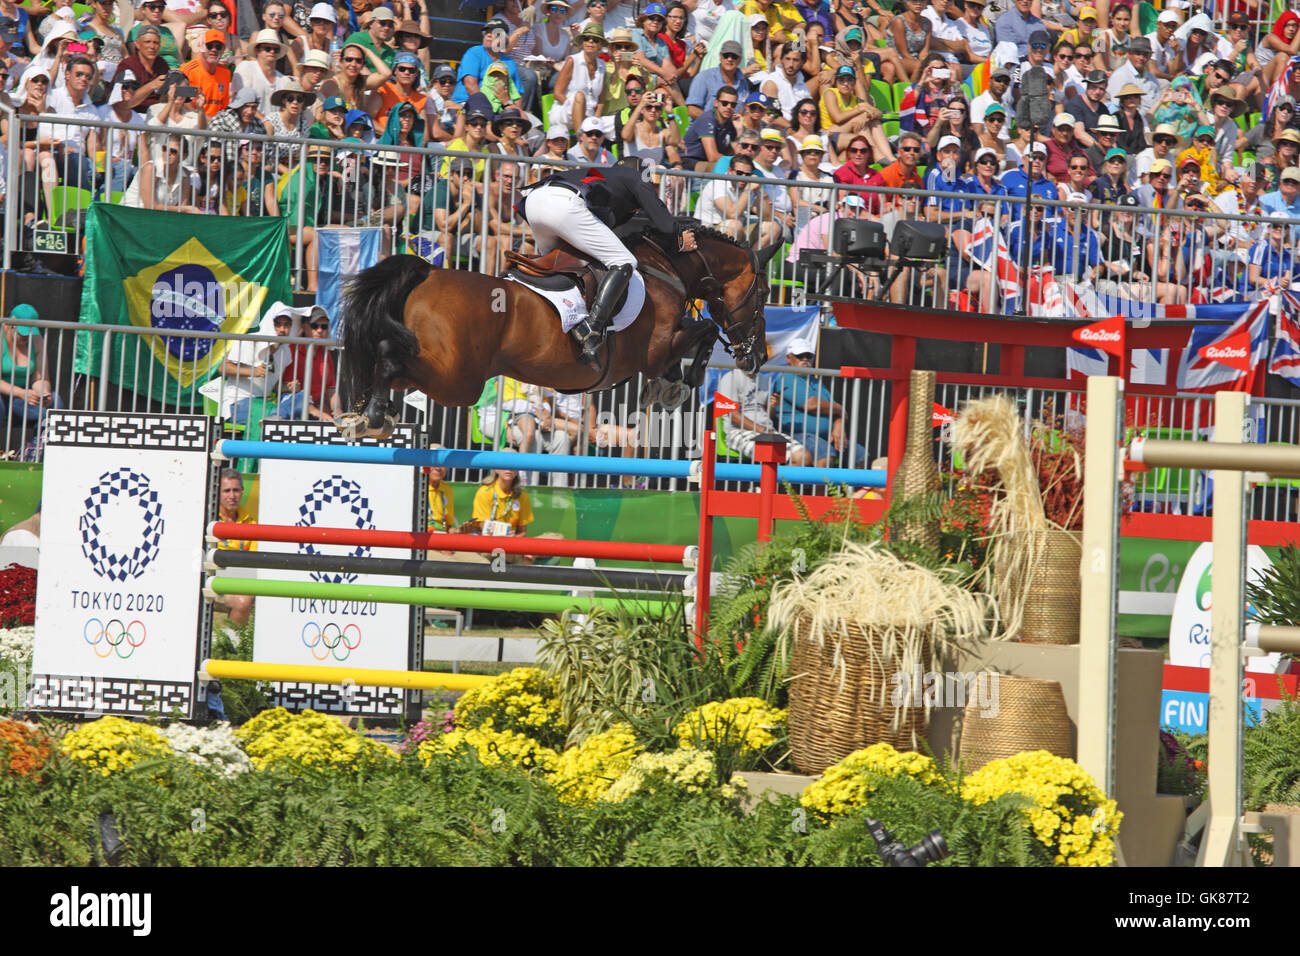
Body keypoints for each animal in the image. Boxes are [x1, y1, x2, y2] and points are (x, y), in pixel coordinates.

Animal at [338, 226, 780, 439]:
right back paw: (371, 414)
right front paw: (679, 385)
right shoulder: (656, 348)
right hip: (457, 380)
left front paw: (668, 386)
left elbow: (694, 334)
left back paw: (364, 414)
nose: (758, 356)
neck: (667, 267)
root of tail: (428, 272)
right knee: (391, 357)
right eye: (764, 294)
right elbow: (702, 330)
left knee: (385, 358)